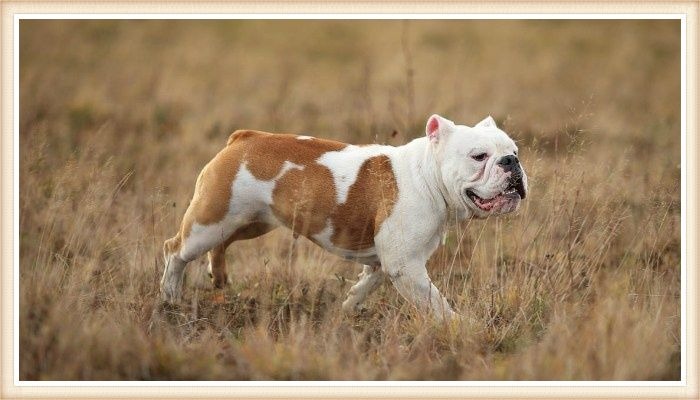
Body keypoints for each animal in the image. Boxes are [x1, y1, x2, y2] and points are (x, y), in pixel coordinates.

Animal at [161, 114, 528, 320]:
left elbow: (367, 283)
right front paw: (459, 326)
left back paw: (218, 275)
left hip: (250, 222)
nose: (511, 162)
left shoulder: (389, 261)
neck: (427, 174)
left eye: (514, 150)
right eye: (479, 156)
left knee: (221, 245)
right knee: (175, 250)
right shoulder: (405, 266)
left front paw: (349, 307)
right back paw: (169, 296)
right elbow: (435, 303)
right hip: (210, 222)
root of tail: (243, 138)